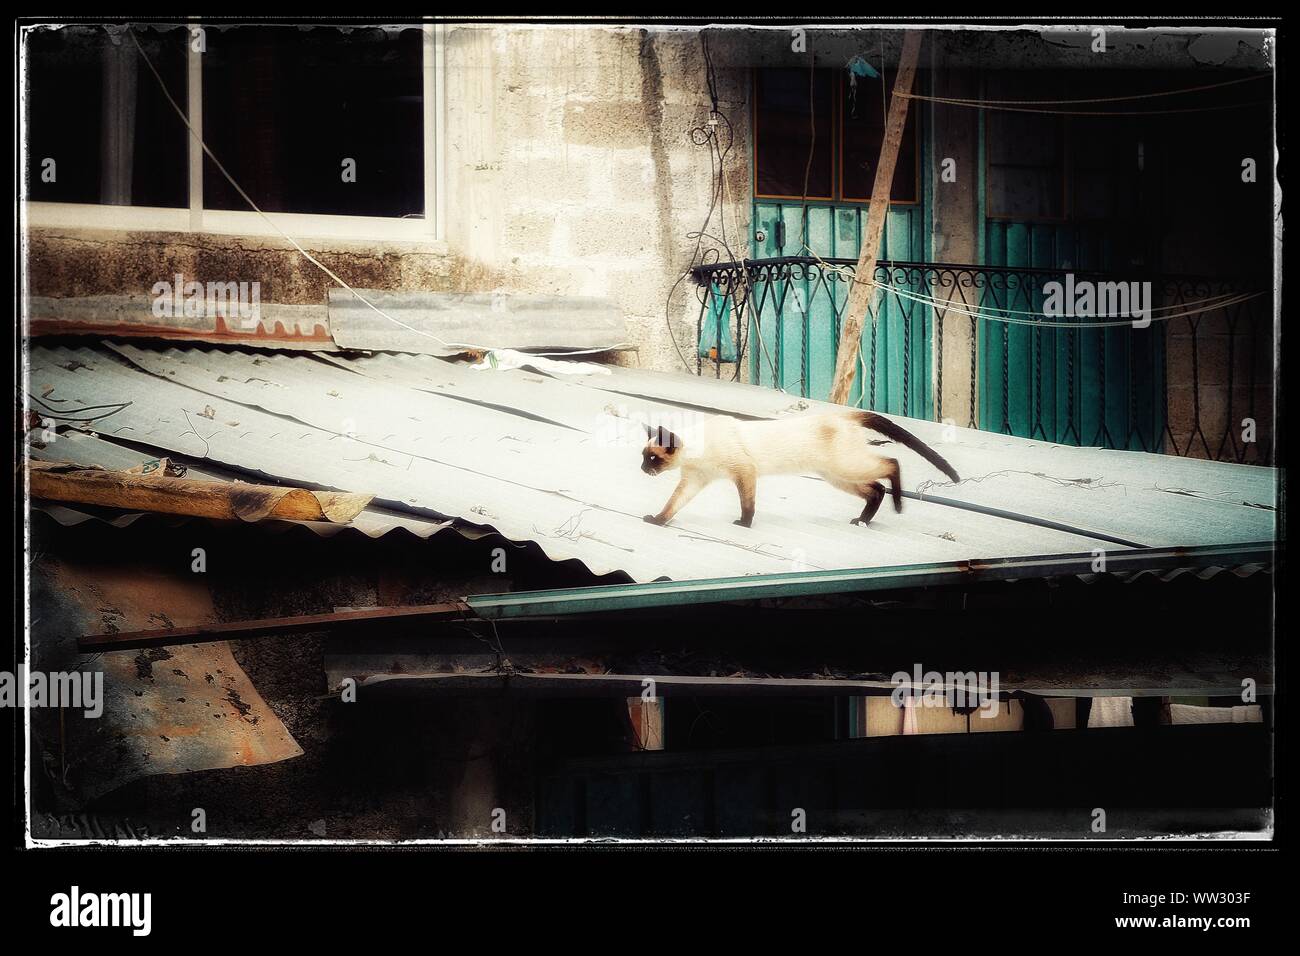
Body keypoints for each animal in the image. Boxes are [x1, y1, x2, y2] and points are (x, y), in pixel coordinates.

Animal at [637, 411, 956, 530]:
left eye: (652, 459)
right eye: (643, 457)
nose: (641, 469)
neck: (697, 453)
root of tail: (844, 413)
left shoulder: (745, 473)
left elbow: (748, 505)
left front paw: (744, 524)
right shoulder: (694, 480)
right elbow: (672, 505)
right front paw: (657, 520)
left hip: (845, 466)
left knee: (891, 464)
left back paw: (899, 506)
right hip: (836, 476)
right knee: (875, 488)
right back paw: (861, 521)